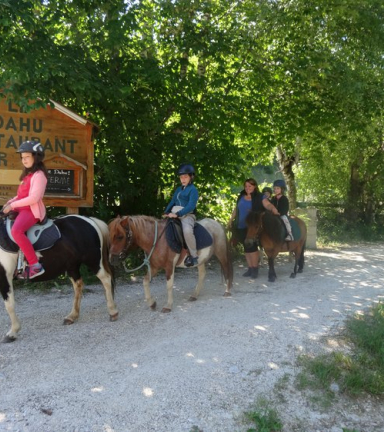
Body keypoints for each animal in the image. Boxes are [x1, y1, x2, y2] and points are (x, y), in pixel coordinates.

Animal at [0, 214, 118, 342]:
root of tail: (89, 220)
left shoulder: (5, 277)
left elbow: (9, 305)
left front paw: (12, 333)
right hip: (72, 266)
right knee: (78, 285)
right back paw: (72, 316)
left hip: (93, 261)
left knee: (106, 279)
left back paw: (113, 312)